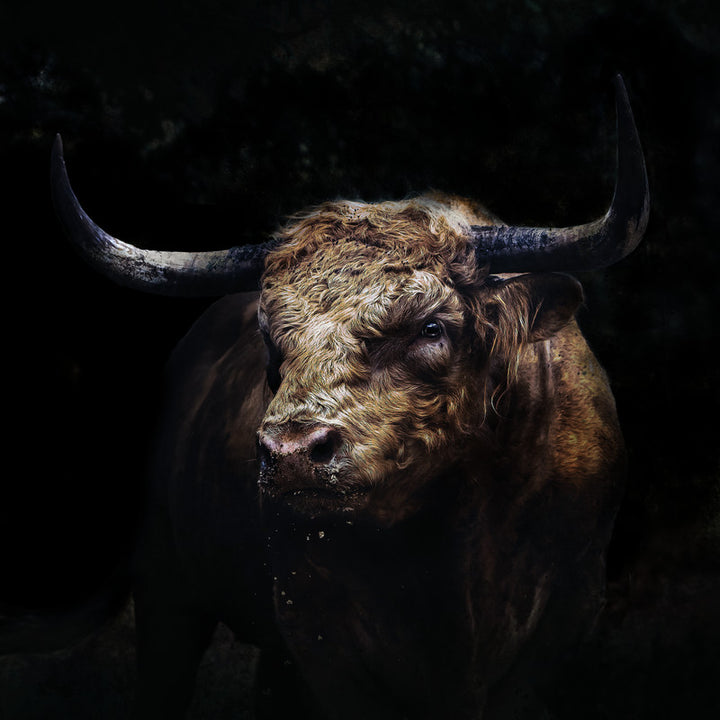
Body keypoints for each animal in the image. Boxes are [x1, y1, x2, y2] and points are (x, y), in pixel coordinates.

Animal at [19, 75, 650, 719]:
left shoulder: (567, 611)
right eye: (270, 339)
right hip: (166, 591)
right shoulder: (322, 636)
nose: (293, 453)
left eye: (431, 327)